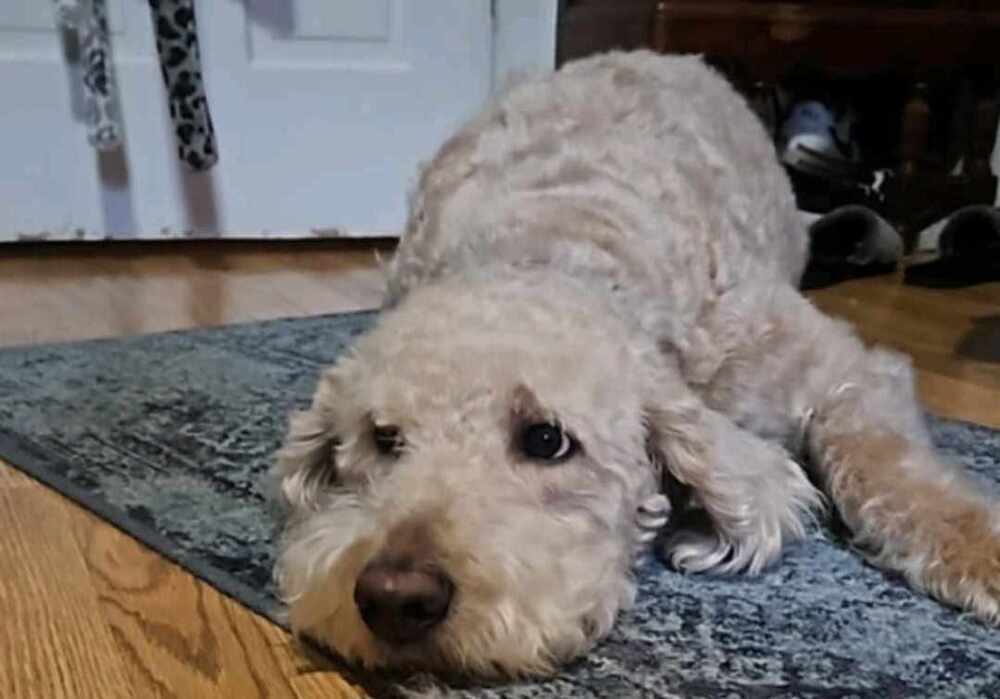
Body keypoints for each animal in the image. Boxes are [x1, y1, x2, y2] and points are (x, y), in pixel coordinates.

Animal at [268, 52, 1000, 680]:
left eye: (547, 439)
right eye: (382, 438)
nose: (394, 597)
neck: (553, 248)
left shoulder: (837, 368)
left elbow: (887, 467)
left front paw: (982, 550)